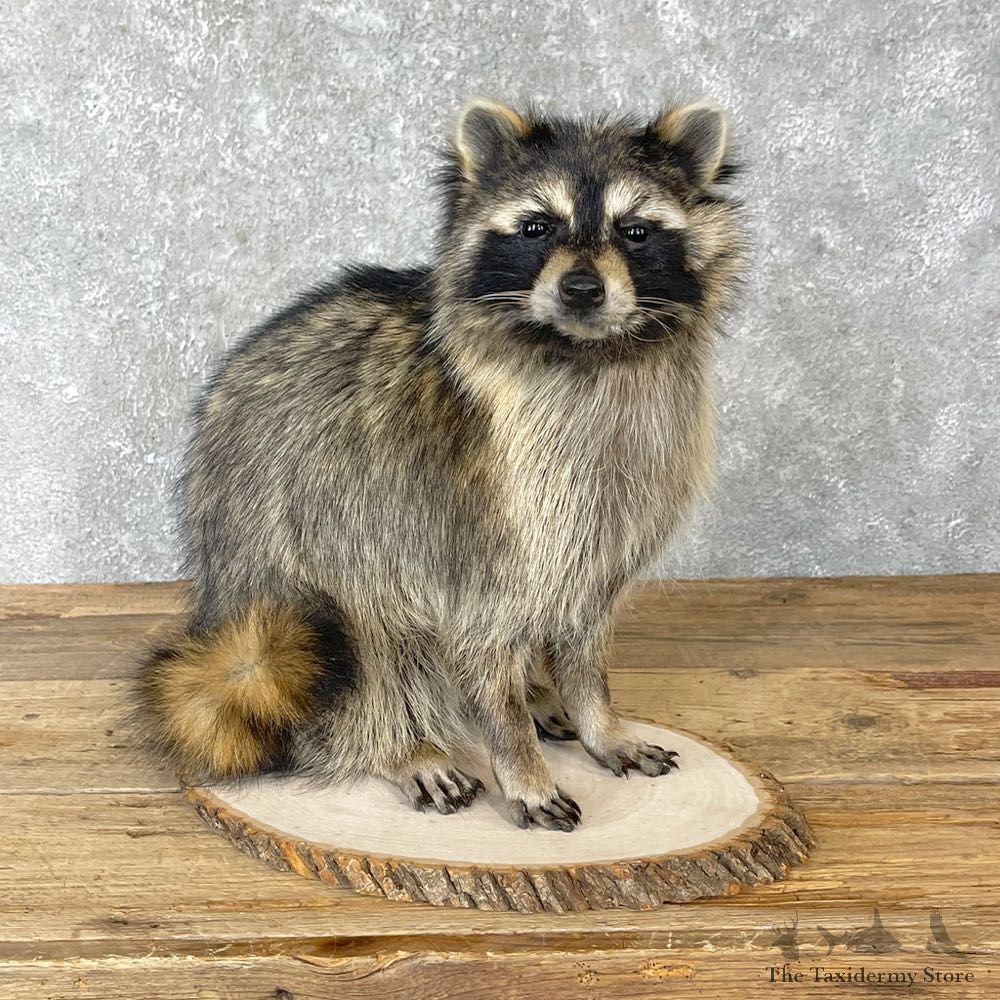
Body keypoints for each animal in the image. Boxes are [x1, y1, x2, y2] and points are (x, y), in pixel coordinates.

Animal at [136, 98, 746, 831]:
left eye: (635, 232)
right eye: (537, 227)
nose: (580, 289)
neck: (582, 352)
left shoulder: (621, 498)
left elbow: (585, 629)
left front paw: (598, 717)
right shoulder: (472, 504)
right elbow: (480, 633)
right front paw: (518, 760)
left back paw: (536, 696)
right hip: (293, 547)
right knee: (367, 632)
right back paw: (403, 744)